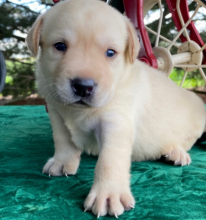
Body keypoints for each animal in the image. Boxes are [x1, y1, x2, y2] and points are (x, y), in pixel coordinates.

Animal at [25, 0, 206, 217]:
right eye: (60, 46)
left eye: (110, 53)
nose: (83, 86)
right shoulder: (56, 110)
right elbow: (62, 139)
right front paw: (62, 162)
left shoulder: (115, 122)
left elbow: (109, 159)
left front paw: (108, 194)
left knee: (185, 142)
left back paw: (176, 152)